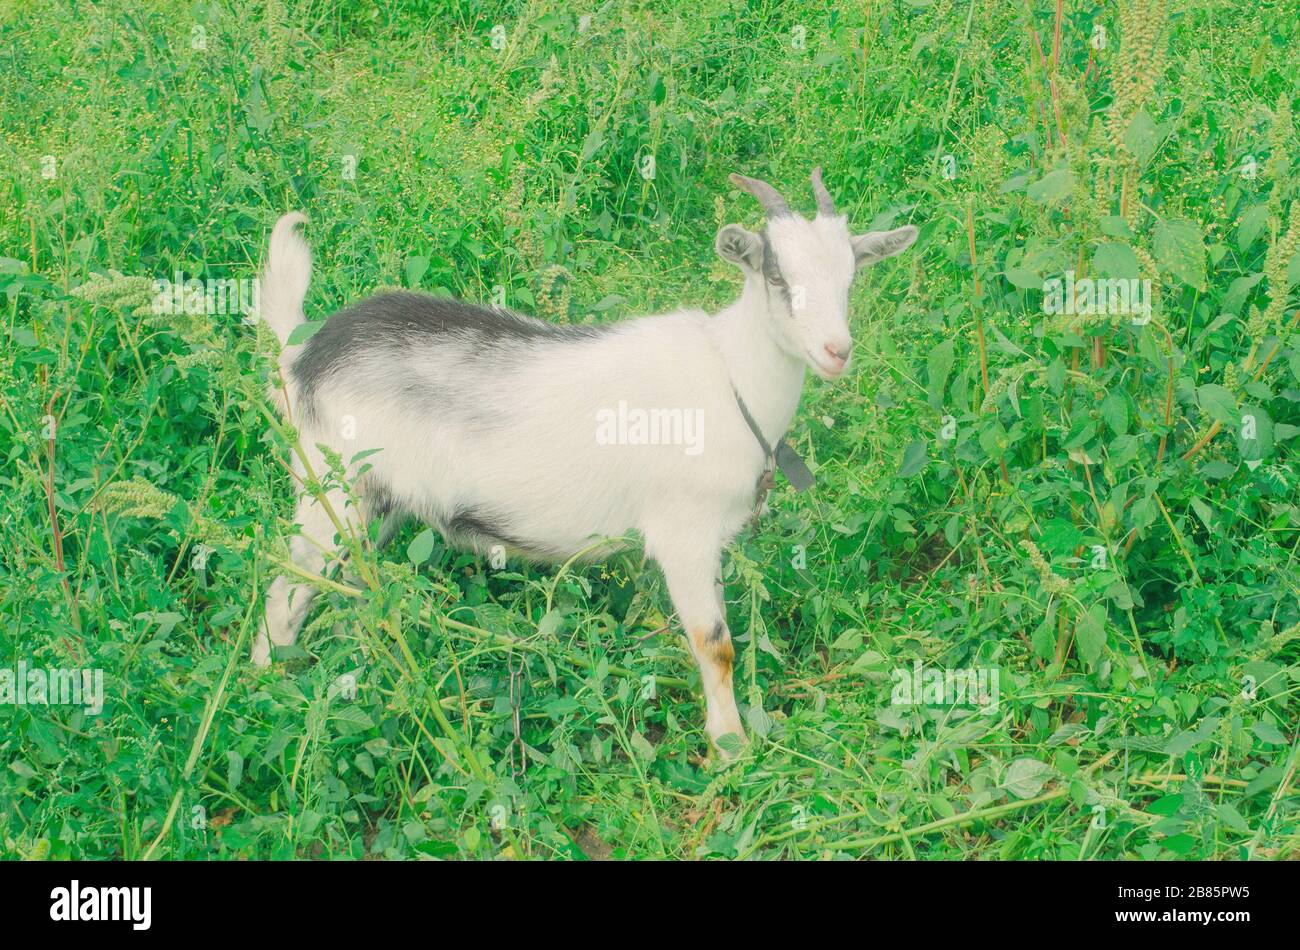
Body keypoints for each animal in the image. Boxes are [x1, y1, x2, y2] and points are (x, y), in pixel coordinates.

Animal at [253, 169, 918, 756]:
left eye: (851, 277)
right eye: (776, 274)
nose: (837, 351)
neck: (730, 375)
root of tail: (301, 355)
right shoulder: (683, 532)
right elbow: (714, 643)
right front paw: (730, 747)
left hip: (375, 503)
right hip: (328, 491)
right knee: (284, 595)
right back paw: (265, 695)